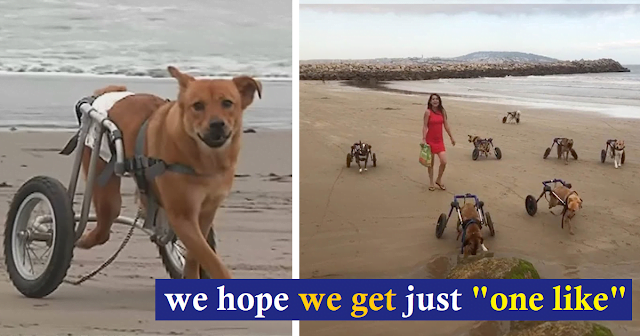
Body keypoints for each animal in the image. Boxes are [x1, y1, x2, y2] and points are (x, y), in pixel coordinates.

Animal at [76, 64, 262, 280]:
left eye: (227, 103)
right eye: (198, 105)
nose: (217, 124)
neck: (205, 159)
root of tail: (110, 92)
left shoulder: (206, 212)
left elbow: (195, 256)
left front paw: (190, 274)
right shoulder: (183, 216)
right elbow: (211, 260)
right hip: (103, 177)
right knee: (105, 223)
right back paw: (83, 239)